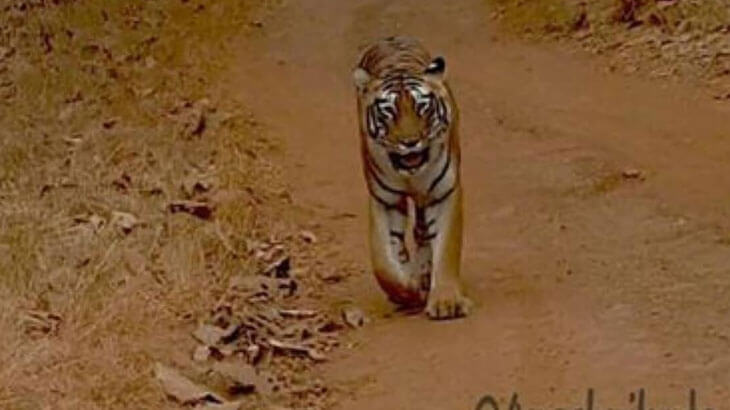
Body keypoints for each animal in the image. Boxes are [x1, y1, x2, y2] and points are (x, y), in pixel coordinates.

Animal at [352, 36, 472, 320]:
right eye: (388, 111)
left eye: (422, 108)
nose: (409, 142)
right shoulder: (385, 200)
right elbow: (384, 262)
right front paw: (407, 291)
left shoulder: (443, 193)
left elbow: (446, 247)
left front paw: (446, 301)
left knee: (423, 233)